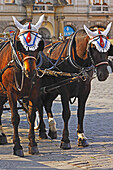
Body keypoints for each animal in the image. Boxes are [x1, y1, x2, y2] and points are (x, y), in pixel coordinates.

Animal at [0, 14, 44, 157]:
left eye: (39, 45)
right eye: (21, 46)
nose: (30, 71)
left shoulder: (34, 92)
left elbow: (31, 116)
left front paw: (33, 144)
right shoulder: (11, 93)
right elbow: (15, 118)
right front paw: (17, 146)